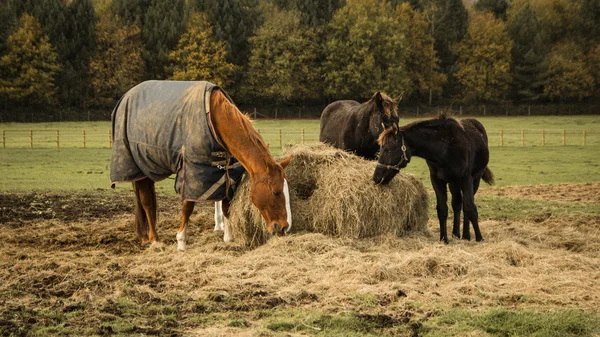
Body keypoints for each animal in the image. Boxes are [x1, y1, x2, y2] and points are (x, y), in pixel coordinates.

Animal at [112, 80, 292, 249]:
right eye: (276, 192)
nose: (284, 227)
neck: (214, 117)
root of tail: (127, 96)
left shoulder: (226, 175)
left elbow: (226, 205)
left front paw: (228, 237)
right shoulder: (192, 174)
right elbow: (188, 206)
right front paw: (181, 241)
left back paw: (145, 237)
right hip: (138, 168)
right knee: (147, 203)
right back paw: (155, 240)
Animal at [372, 114, 494, 243]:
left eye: (388, 149)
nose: (376, 177)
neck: (446, 148)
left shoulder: (466, 179)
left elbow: (470, 207)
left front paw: (479, 237)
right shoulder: (437, 180)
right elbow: (442, 209)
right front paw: (444, 238)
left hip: (474, 179)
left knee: (466, 205)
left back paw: (466, 235)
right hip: (453, 183)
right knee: (457, 203)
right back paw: (456, 234)